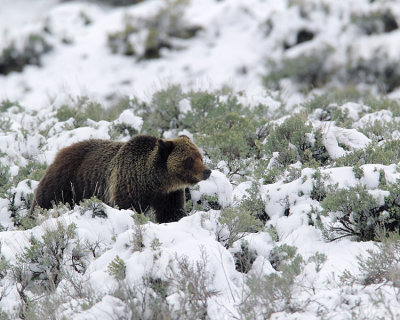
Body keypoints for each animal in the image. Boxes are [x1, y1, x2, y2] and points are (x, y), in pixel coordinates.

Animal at [29, 135, 211, 222]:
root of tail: (59, 153)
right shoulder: (127, 185)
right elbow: (127, 207)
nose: (207, 171)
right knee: (44, 201)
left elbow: (171, 212)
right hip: (66, 183)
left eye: (200, 156)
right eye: (189, 159)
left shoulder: (169, 194)